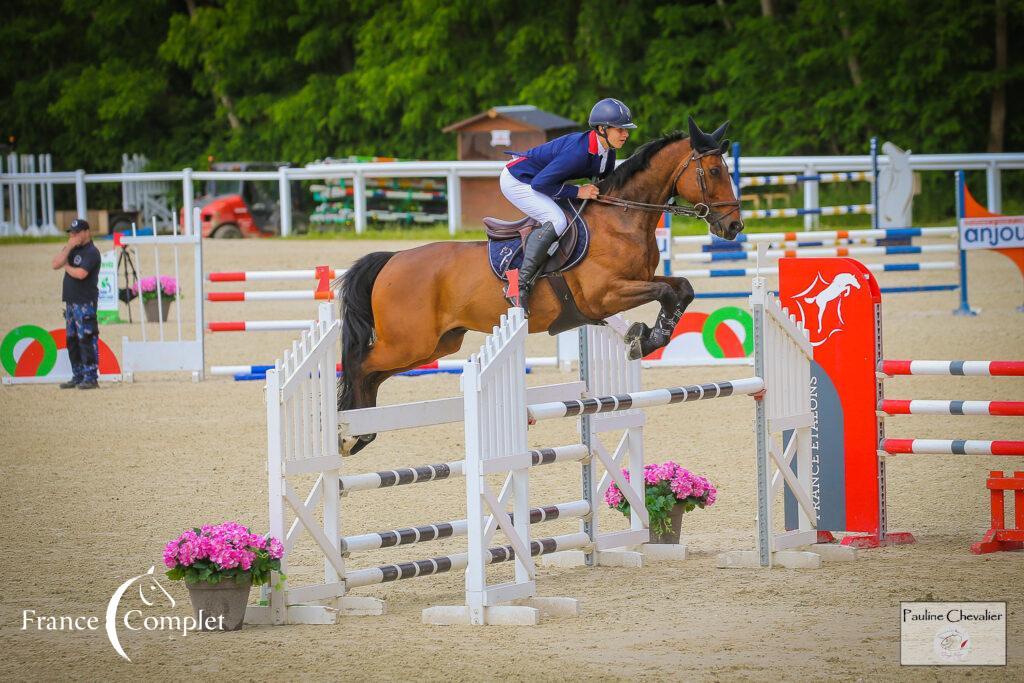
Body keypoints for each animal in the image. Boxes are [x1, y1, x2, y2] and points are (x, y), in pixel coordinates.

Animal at [337, 116, 745, 454]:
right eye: (713, 170)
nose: (733, 227)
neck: (622, 218)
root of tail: (392, 260)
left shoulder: (638, 279)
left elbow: (683, 288)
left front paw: (649, 336)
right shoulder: (604, 296)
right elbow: (666, 292)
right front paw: (644, 338)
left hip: (435, 345)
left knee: (373, 373)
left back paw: (361, 431)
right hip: (409, 342)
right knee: (359, 363)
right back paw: (348, 433)